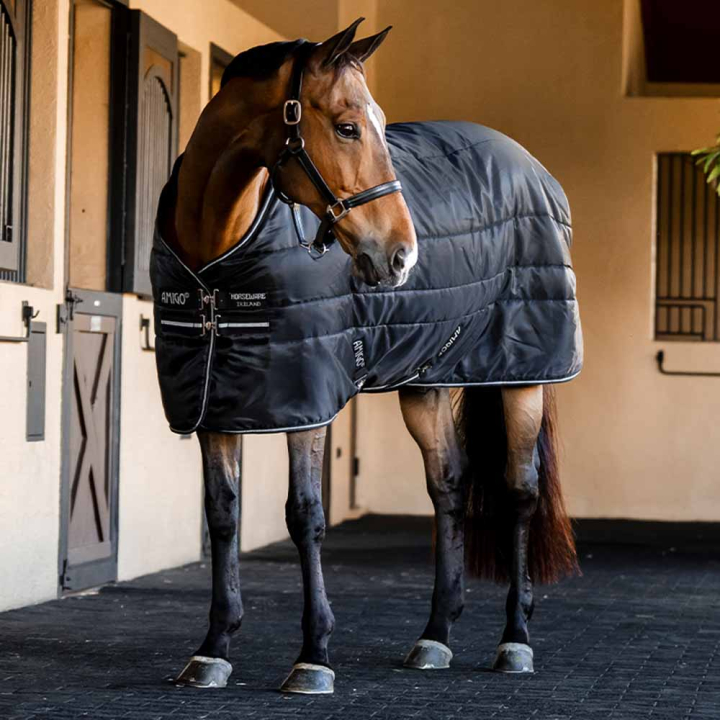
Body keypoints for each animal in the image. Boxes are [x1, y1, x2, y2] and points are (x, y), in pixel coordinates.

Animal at [152, 18, 582, 694]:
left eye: (377, 123)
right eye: (348, 126)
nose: (401, 255)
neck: (216, 266)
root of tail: (533, 167)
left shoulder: (306, 403)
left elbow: (305, 515)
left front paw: (314, 657)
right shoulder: (217, 402)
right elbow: (222, 515)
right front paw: (213, 649)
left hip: (522, 376)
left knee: (519, 491)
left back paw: (515, 640)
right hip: (427, 381)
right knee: (448, 484)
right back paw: (435, 636)